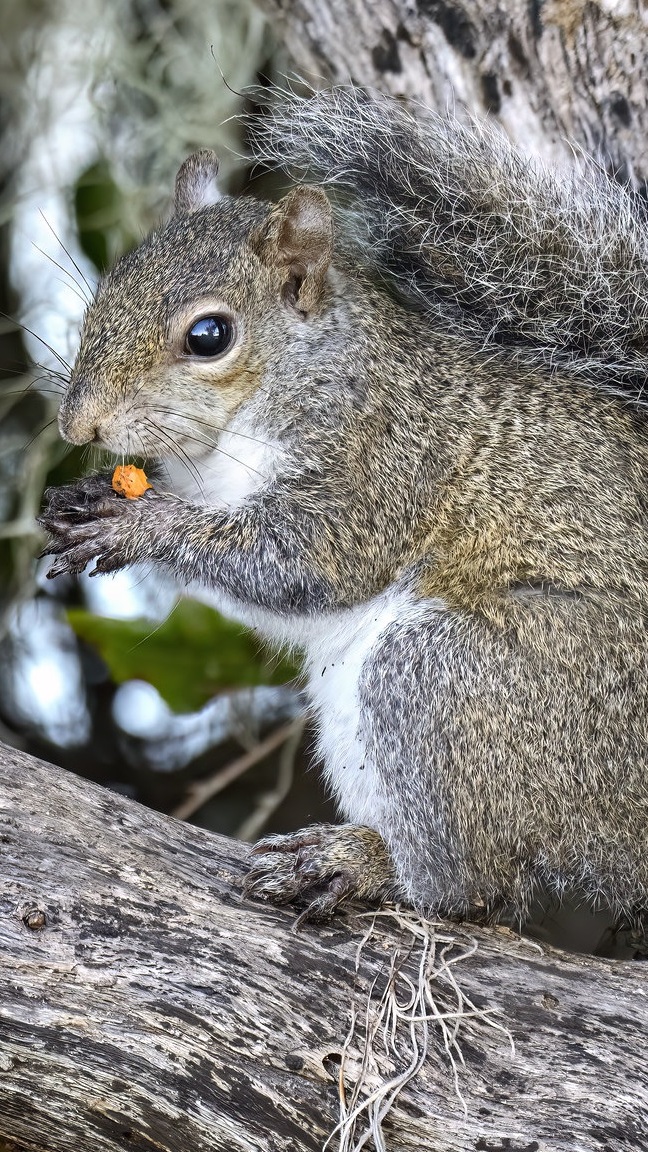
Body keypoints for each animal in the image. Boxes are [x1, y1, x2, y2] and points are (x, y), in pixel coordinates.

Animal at [39, 89, 645, 935]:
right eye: (109, 286)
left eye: (209, 335)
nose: (79, 426)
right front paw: (88, 499)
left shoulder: (380, 463)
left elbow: (306, 561)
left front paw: (143, 525)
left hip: (463, 680)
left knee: (478, 890)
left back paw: (365, 866)